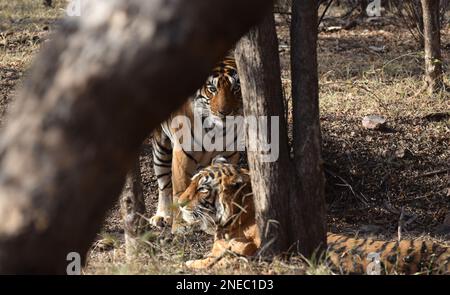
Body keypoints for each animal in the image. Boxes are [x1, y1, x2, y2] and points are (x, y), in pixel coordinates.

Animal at [150, 53, 243, 229]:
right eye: (212, 89)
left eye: (236, 88)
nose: (224, 112)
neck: (218, 130)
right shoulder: (182, 156)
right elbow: (180, 190)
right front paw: (180, 226)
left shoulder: (230, 154)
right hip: (161, 148)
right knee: (164, 183)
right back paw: (162, 215)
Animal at [178, 160, 450, 276]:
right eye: (191, 182)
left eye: (202, 189)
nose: (179, 203)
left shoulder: (232, 258)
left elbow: (201, 263)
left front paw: (187, 264)